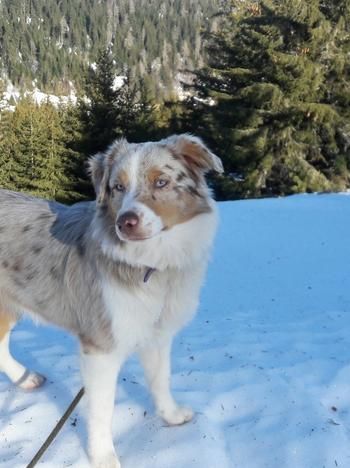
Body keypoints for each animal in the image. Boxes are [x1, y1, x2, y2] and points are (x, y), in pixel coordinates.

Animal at [0, 133, 223, 466]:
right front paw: (103, 456)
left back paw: (24, 378)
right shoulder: (100, 347)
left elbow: (160, 380)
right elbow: (102, 410)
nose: (126, 222)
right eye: (118, 186)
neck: (150, 266)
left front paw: (170, 416)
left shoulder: (156, 333)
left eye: (161, 182)